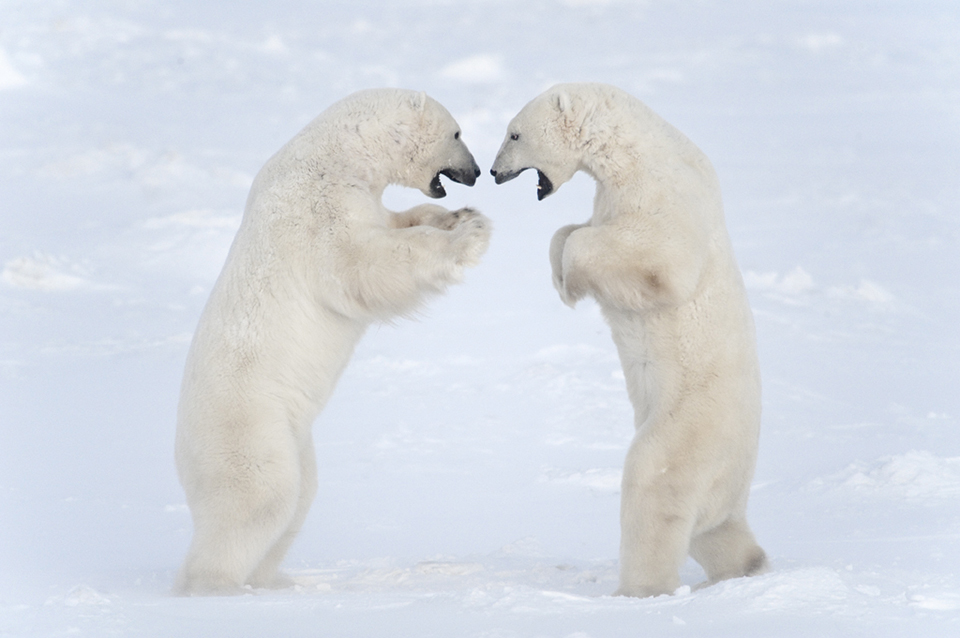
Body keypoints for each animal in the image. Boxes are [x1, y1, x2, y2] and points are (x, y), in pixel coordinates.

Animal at [173, 87, 492, 596]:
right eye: (458, 133)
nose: (477, 172)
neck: (335, 156)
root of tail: (182, 455)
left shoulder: (357, 198)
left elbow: (394, 222)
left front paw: (456, 215)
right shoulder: (316, 211)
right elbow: (366, 262)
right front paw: (469, 234)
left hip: (292, 433)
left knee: (300, 497)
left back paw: (273, 580)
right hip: (246, 427)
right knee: (260, 499)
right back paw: (215, 586)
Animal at [492, 82, 768, 596]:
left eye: (514, 133)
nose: (496, 172)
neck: (634, 149)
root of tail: (738, 482)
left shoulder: (663, 193)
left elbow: (653, 255)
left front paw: (570, 276)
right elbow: (574, 229)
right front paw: (562, 277)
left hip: (691, 426)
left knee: (654, 483)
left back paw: (638, 590)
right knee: (712, 531)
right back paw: (744, 566)